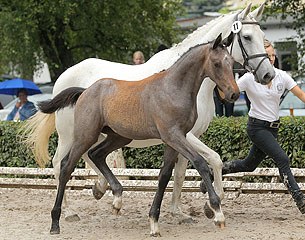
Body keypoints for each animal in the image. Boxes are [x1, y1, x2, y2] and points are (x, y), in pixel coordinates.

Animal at [38, 33, 238, 236]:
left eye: (231, 62)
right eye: (216, 64)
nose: (233, 94)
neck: (173, 89)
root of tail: (85, 91)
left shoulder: (172, 140)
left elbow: (165, 176)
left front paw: (154, 222)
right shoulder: (175, 136)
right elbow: (200, 163)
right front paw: (217, 212)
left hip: (119, 136)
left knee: (96, 154)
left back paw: (116, 199)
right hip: (83, 135)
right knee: (65, 166)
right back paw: (57, 220)